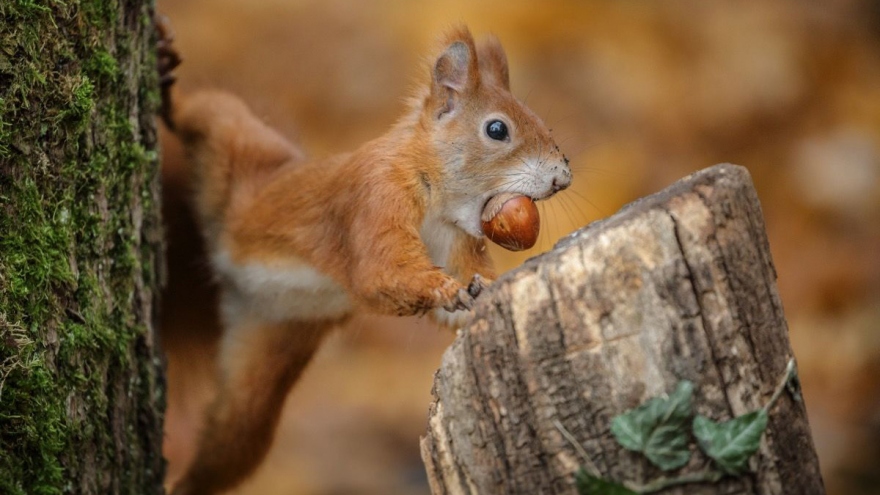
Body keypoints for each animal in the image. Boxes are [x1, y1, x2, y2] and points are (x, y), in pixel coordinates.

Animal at [156, 19, 572, 495]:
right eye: (497, 130)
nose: (562, 177)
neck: (437, 198)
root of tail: (225, 274)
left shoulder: (454, 240)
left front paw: (481, 290)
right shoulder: (375, 197)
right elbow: (379, 272)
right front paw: (445, 289)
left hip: (267, 358)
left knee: (233, 439)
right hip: (240, 144)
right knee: (204, 110)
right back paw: (165, 74)